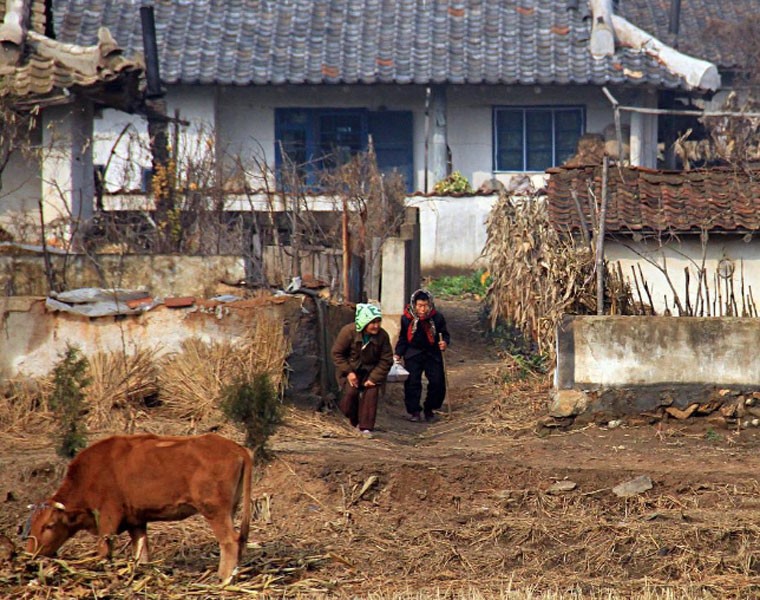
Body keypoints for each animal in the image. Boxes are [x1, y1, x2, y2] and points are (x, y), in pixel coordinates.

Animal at [24, 434, 252, 584]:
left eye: (49, 525)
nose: (30, 553)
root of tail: (236, 448)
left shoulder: (108, 518)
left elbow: (104, 550)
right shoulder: (136, 522)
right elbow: (142, 553)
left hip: (214, 511)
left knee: (230, 540)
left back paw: (224, 579)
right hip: (230, 510)